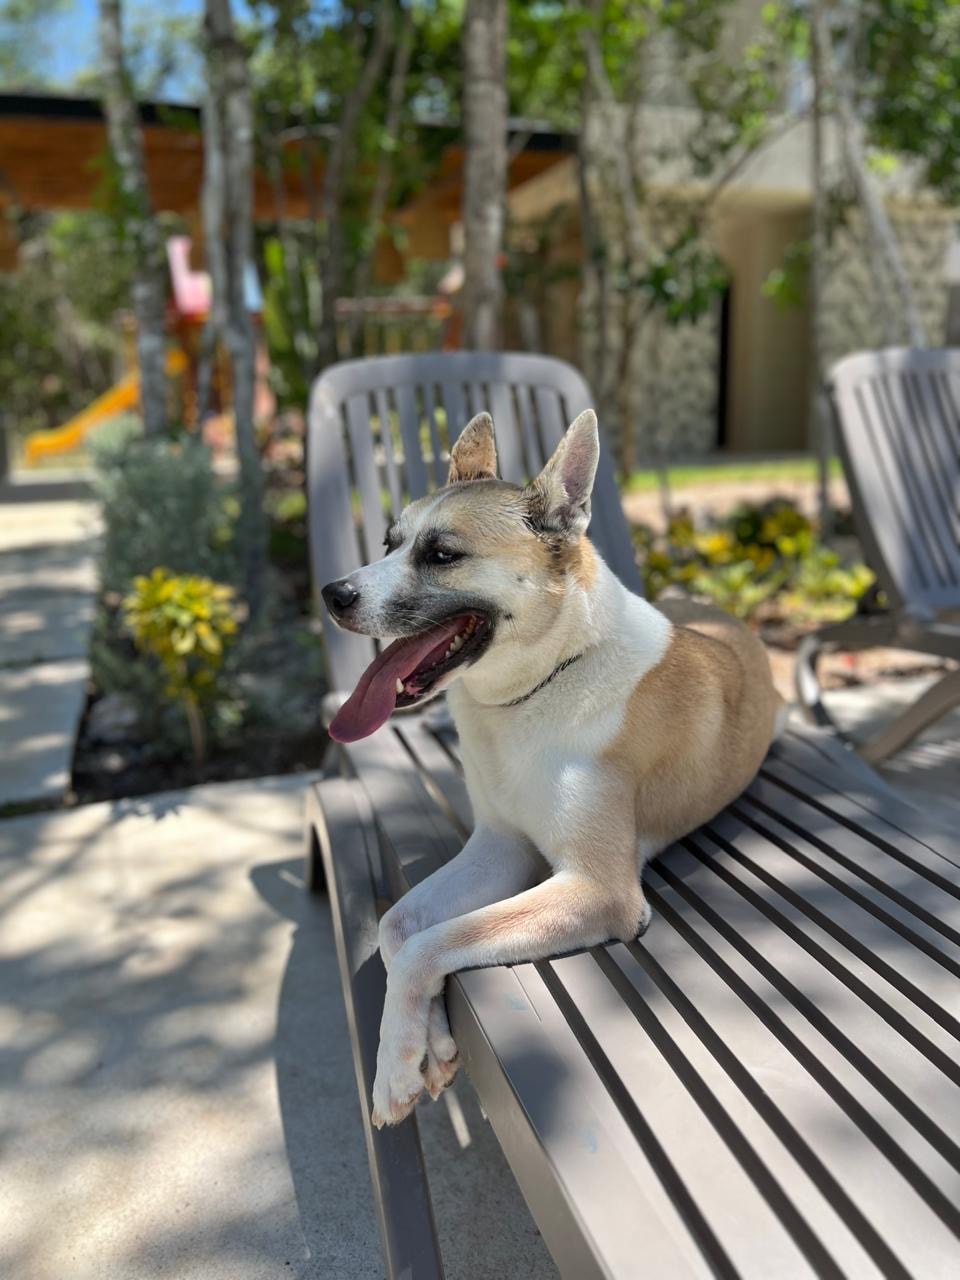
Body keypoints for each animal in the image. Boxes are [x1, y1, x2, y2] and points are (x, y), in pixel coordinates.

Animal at [322, 409, 785, 1127]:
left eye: (442, 554)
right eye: (388, 542)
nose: (332, 594)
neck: (544, 681)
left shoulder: (599, 890)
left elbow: (430, 942)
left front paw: (394, 1069)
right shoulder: (500, 849)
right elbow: (400, 928)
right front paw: (430, 1044)